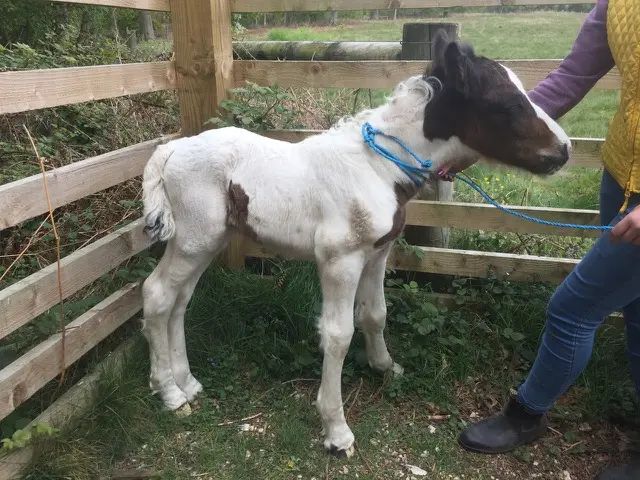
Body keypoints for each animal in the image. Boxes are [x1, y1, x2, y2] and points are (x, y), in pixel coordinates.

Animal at [140, 30, 568, 458]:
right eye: (508, 103)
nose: (563, 151)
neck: (378, 168)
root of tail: (170, 149)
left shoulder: (378, 253)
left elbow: (375, 313)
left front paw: (385, 367)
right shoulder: (340, 260)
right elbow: (337, 334)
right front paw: (336, 429)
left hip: (206, 242)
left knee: (180, 300)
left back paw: (187, 383)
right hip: (194, 240)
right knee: (158, 294)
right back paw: (170, 394)